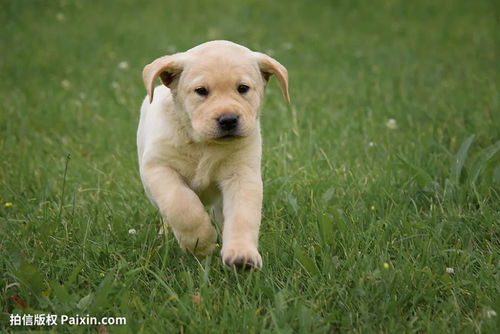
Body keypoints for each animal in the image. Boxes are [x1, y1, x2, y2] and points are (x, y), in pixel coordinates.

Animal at [137, 40, 290, 268]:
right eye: (201, 91)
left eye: (243, 88)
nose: (228, 119)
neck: (204, 144)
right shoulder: (158, 167)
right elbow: (181, 204)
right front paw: (200, 242)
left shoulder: (242, 174)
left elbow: (242, 216)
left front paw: (241, 254)